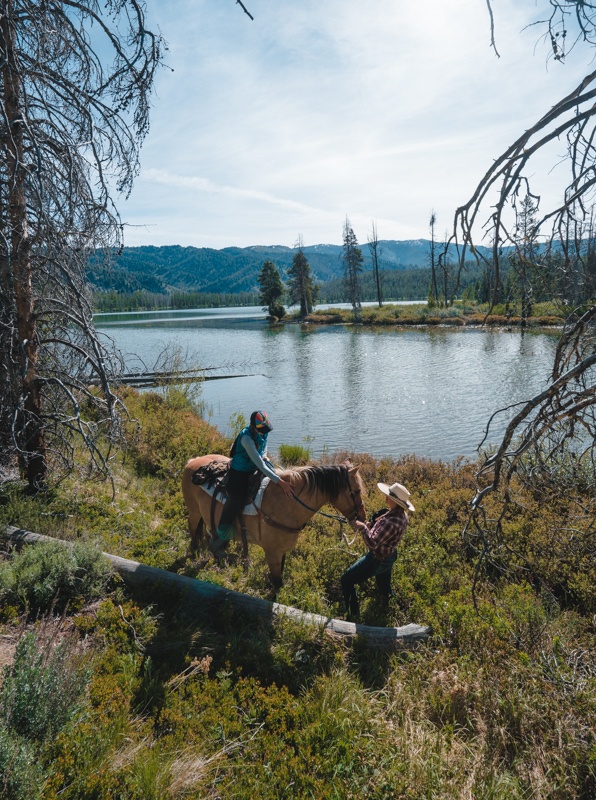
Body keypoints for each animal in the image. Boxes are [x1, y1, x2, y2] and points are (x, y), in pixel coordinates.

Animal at [182, 454, 366, 592]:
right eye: (356, 491)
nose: (363, 518)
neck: (287, 503)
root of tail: (193, 461)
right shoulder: (272, 553)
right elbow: (277, 583)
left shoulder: (281, 552)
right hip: (194, 512)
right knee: (193, 529)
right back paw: (194, 552)